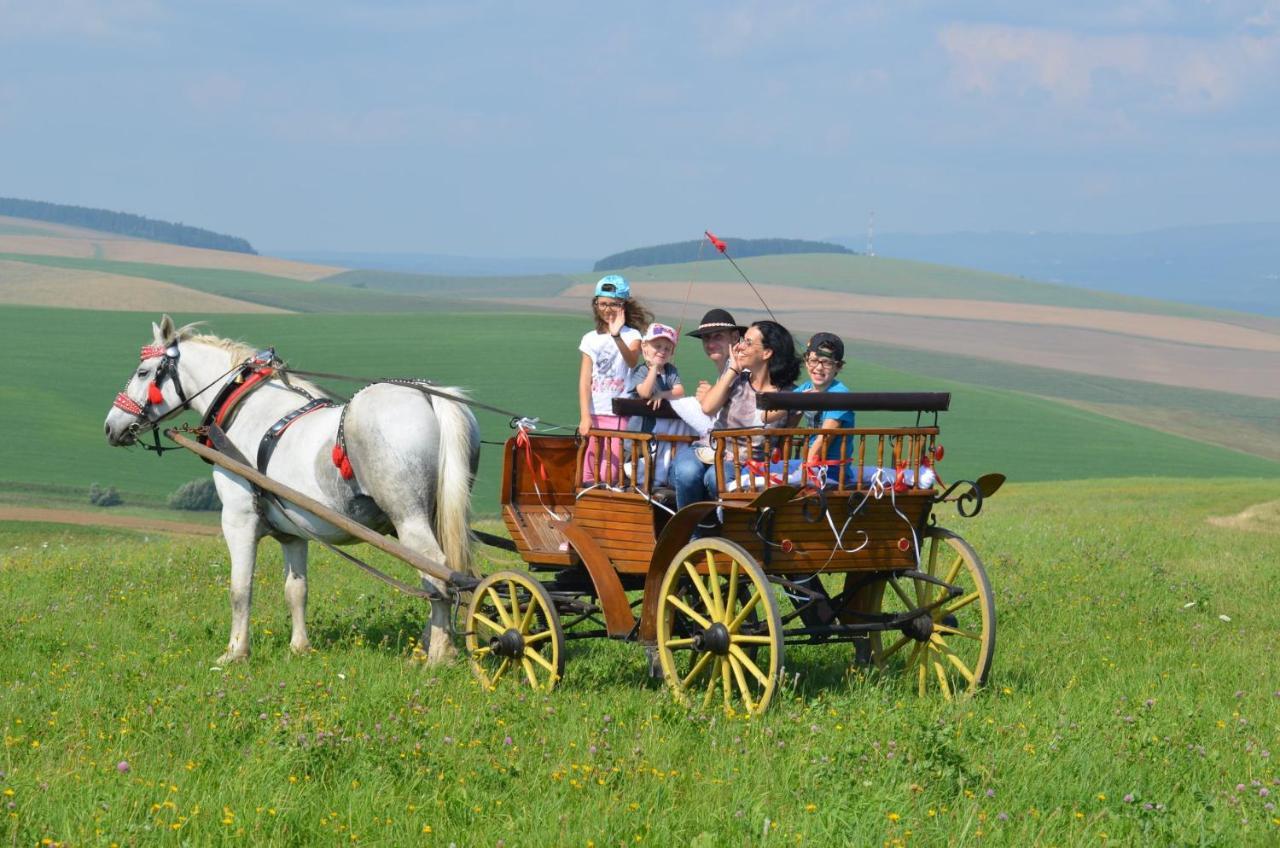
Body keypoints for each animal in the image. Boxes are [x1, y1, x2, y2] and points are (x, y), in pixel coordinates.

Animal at [104, 317, 481, 666]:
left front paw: (235, 652)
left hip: (409, 516)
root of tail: (427, 395)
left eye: (143, 372)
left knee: (437, 571)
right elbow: (296, 589)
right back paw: (429, 645)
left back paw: (439, 654)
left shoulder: (238, 519)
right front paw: (300, 647)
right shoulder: (294, 532)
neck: (249, 410)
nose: (111, 426)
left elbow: (240, 588)